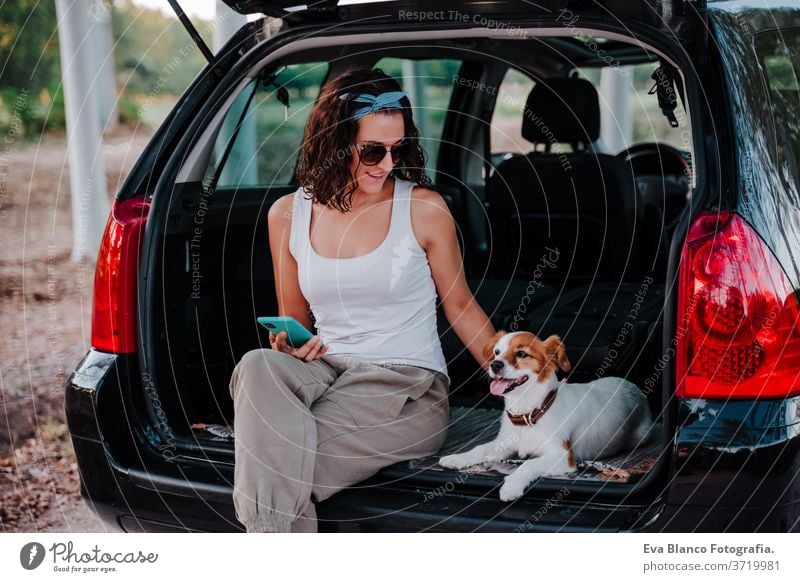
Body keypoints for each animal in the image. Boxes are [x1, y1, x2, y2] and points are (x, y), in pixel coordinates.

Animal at [440, 334, 652, 502]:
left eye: (522, 354)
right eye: (497, 352)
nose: (495, 364)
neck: (529, 413)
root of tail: (632, 386)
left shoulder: (563, 457)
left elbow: (528, 464)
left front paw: (512, 485)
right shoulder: (504, 444)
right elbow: (479, 449)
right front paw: (458, 458)